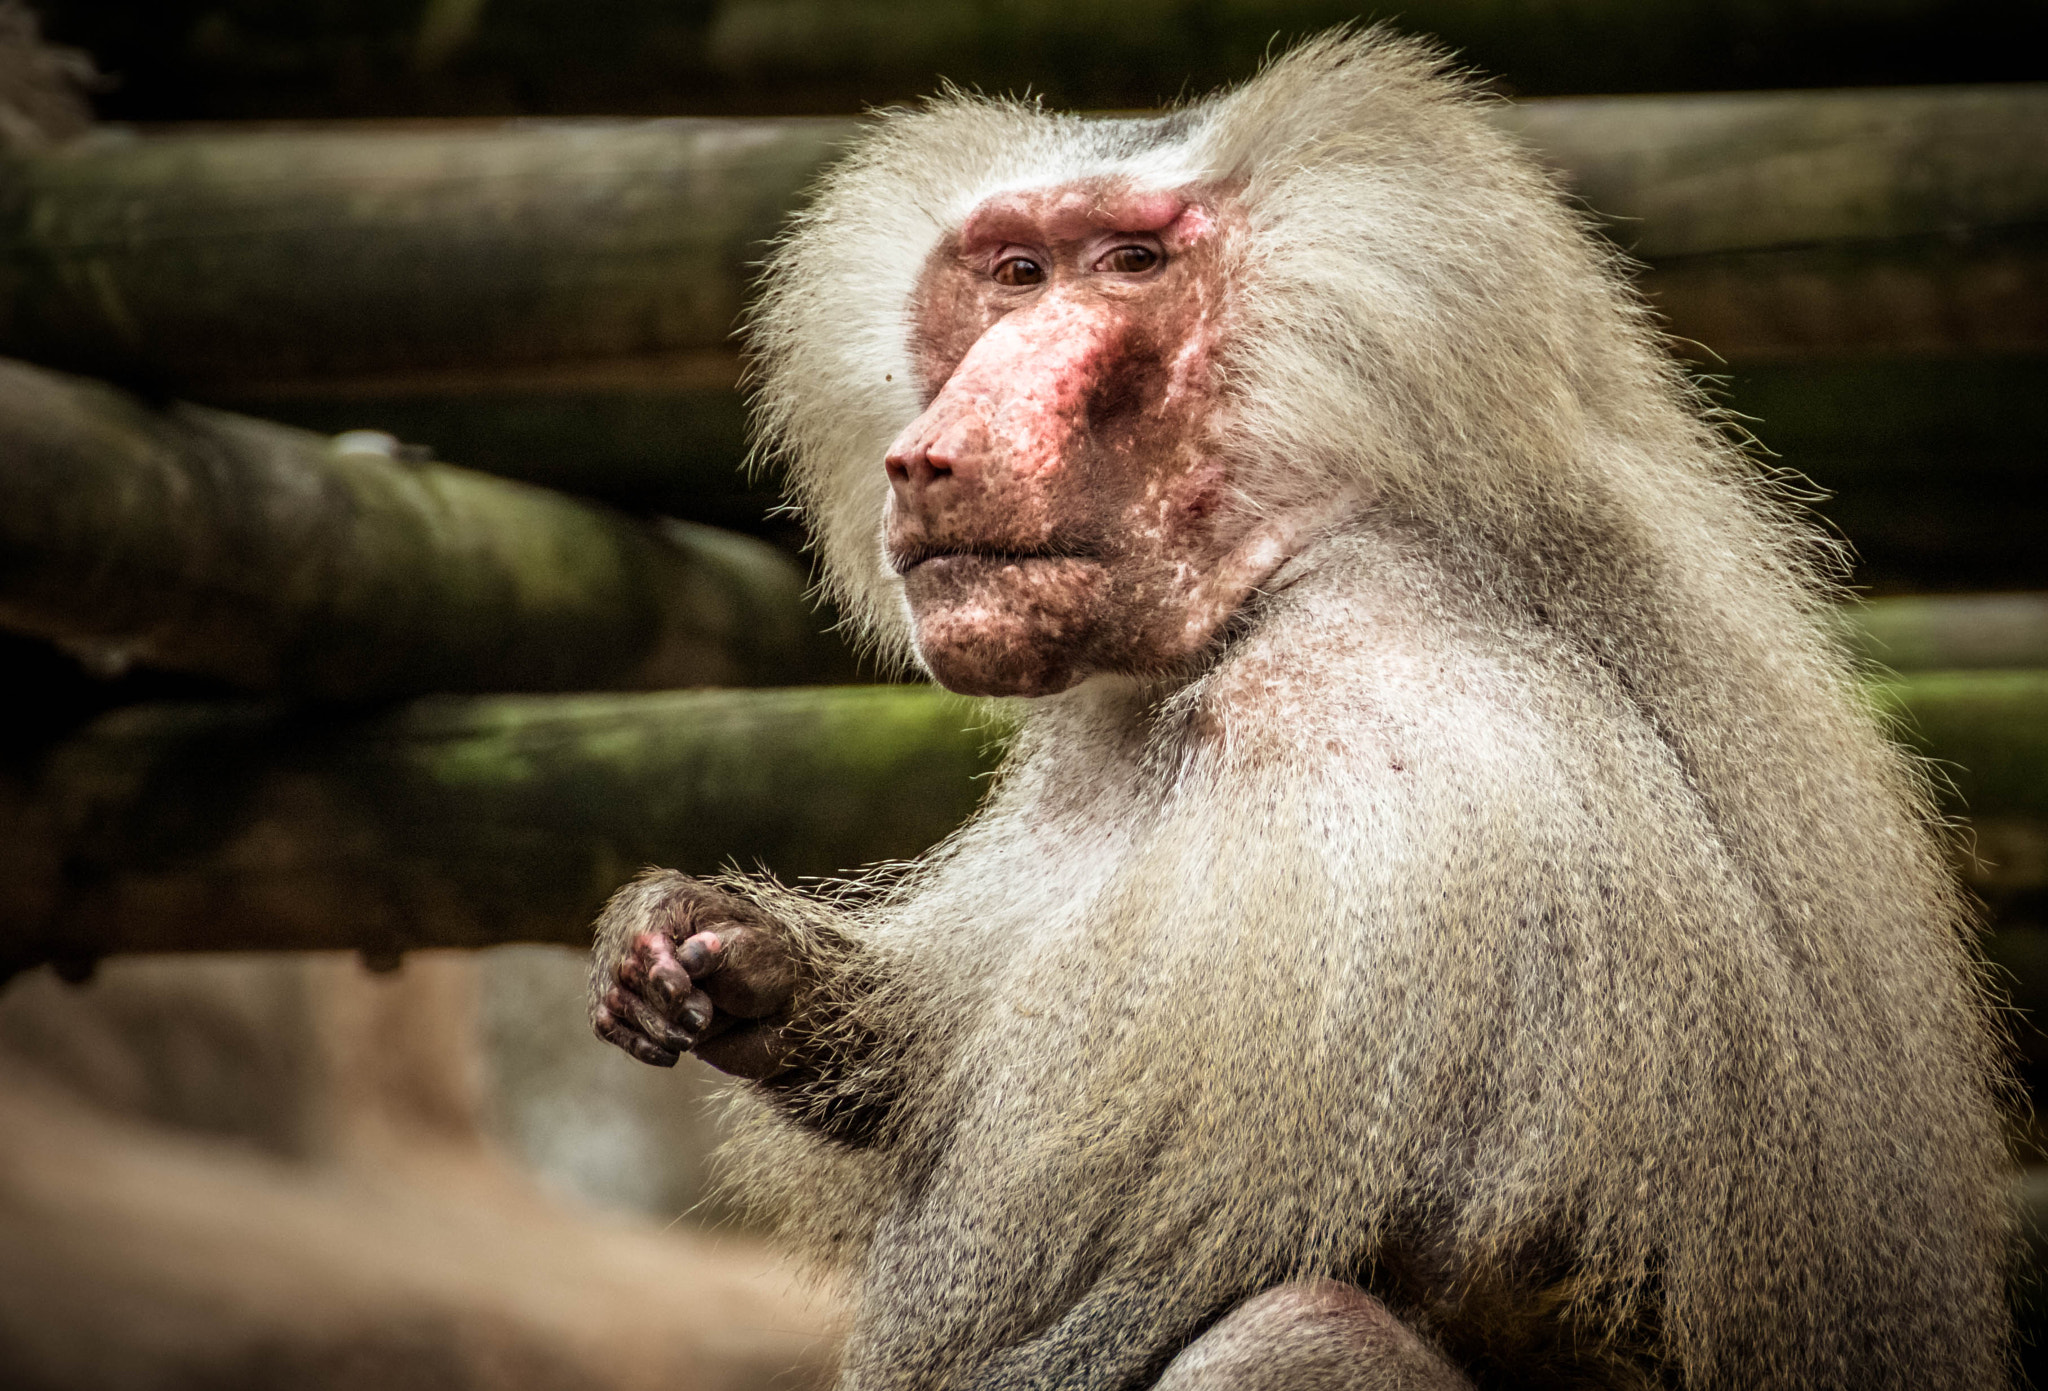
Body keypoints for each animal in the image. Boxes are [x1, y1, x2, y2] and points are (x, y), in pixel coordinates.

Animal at [590, 30, 2013, 1390]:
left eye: (1127, 264)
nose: (929, 457)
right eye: (1012, 273)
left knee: (1295, 1332)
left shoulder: (1351, 747)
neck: (1292, 562)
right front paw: (713, 951)